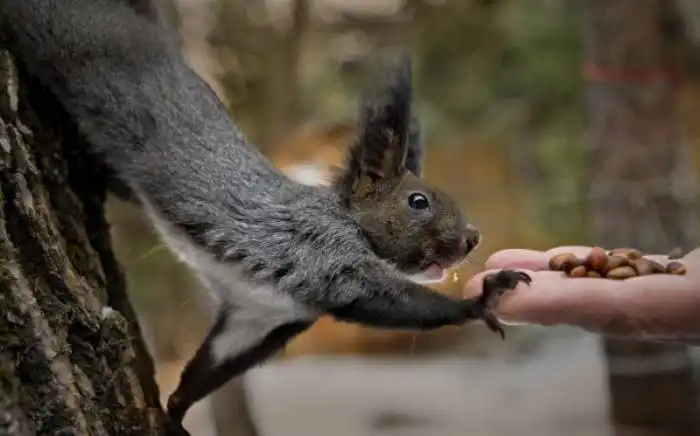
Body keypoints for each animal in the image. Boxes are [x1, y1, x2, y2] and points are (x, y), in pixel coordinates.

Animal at [0, 0, 531, 433]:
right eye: (417, 201)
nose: (472, 238)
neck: (349, 221)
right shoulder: (322, 255)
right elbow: (388, 298)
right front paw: (482, 300)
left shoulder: (258, 316)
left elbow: (209, 368)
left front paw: (174, 411)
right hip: (66, 43)